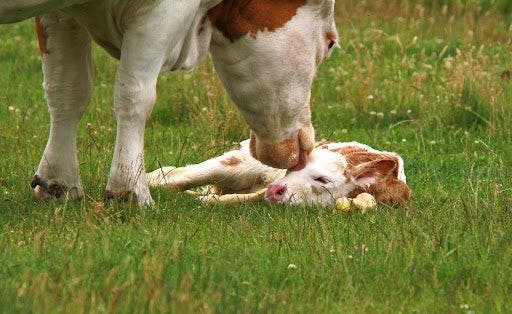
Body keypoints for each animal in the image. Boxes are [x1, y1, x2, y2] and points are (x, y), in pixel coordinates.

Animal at [1, 0, 340, 205]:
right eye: (330, 43)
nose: (308, 145)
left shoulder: (59, 13)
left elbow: (67, 90)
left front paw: (57, 181)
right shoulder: (162, 11)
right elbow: (135, 93)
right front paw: (129, 190)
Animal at [146, 140, 410, 206]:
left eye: (323, 180)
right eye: (292, 167)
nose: (276, 189)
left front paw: (206, 201)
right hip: (236, 163)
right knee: (171, 177)